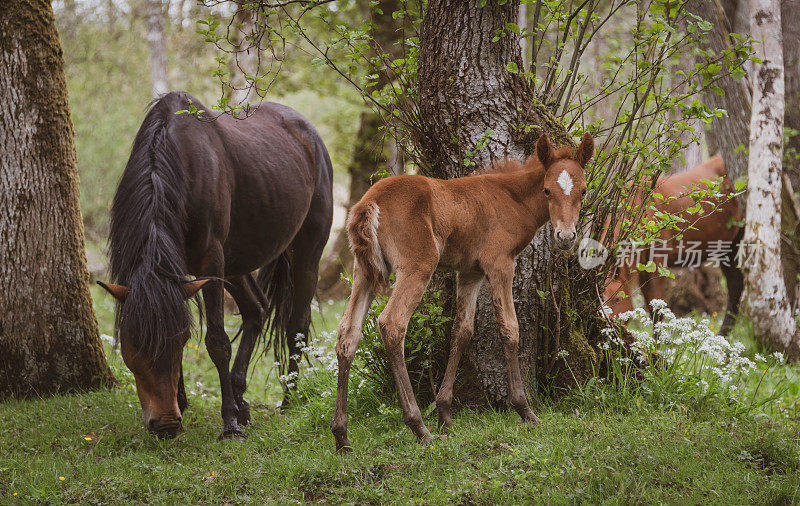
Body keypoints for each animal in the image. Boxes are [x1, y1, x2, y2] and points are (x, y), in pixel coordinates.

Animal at [330, 131, 592, 450]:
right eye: (546, 191)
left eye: (583, 191)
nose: (565, 237)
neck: (510, 198)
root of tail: (369, 201)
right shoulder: (499, 263)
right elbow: (510, 328)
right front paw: (524, 410)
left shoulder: (470, 272)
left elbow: (462, 331)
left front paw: (445, 413)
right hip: (418, 266)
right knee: (392, 324)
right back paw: (419, 427)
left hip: (363, 272)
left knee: (348, 333)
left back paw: (342, 436)